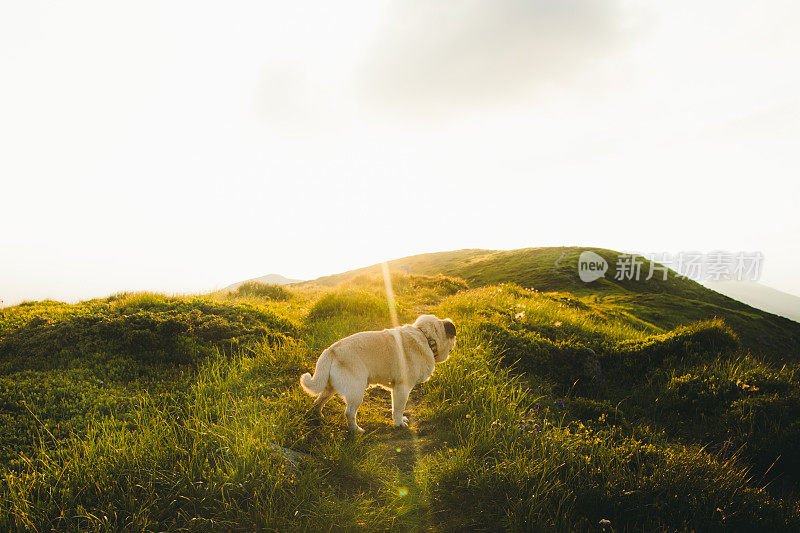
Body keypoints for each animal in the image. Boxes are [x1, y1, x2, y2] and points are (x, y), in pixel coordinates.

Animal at [300, 314, 456, 430]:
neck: (426, 338)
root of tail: (331, 350)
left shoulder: (396, 389)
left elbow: (396, 408)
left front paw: (400, 420)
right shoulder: (402, 388)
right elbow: (398, 408)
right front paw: (399, 424)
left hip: (329, 388)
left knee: (318, 402)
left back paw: (318, 416)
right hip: (356, 391)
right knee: (349, 413)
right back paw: (356, 430)